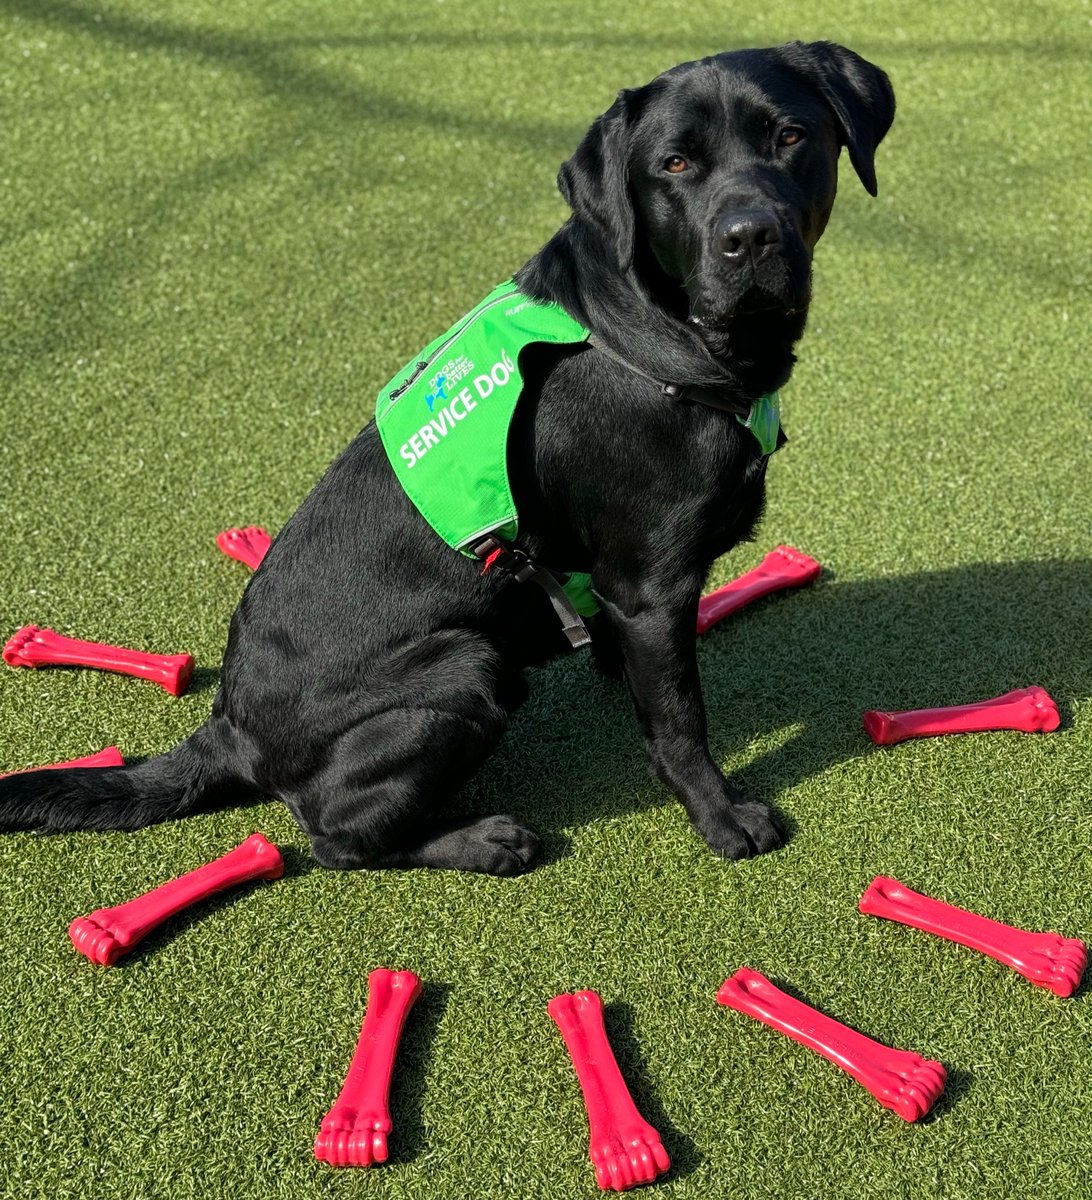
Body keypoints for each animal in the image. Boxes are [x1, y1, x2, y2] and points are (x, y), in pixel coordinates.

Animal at [2, 42, 897, 878]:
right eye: (674, 165)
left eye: (790, 137)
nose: (750, 237)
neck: (659, 338)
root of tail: (228, 729)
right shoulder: (651, 585)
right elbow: (680, 723)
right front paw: (721, 817)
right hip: (466, 667)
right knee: (337, 838)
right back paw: (483, 840)